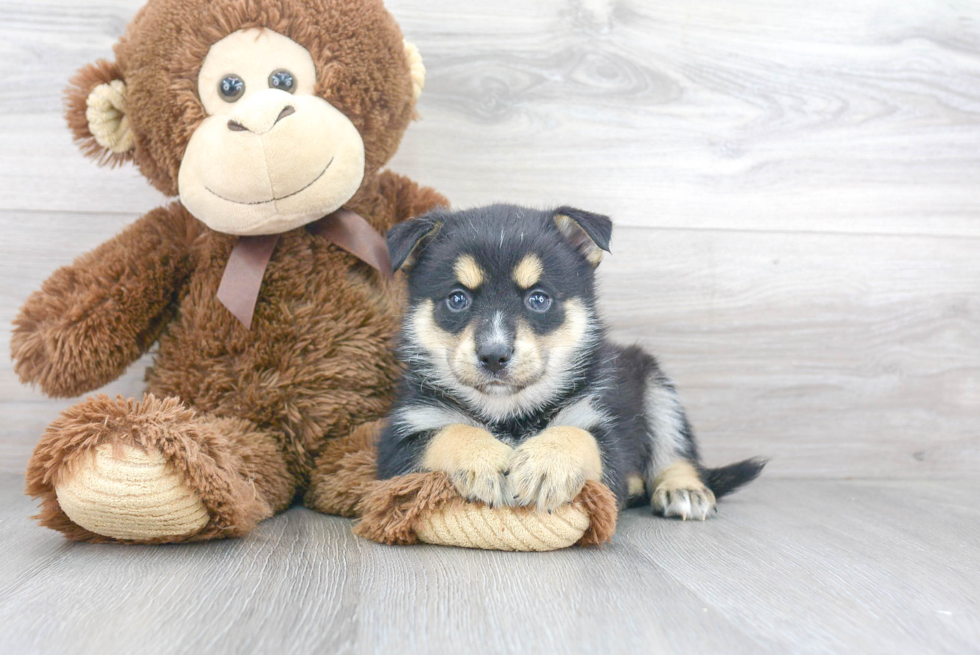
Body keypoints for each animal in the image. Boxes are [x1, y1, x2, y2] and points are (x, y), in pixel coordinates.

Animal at [376, 202, 764, 520]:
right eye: (457, 299)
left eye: (538, 299)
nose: (494, 356)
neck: (509, 414)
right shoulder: (397, 443)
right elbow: (449, 432)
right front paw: (484, 460)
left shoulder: (603, 429)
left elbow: (577, 434)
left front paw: (548, 464)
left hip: (657, 389)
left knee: (675, 450)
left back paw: (683, 489)